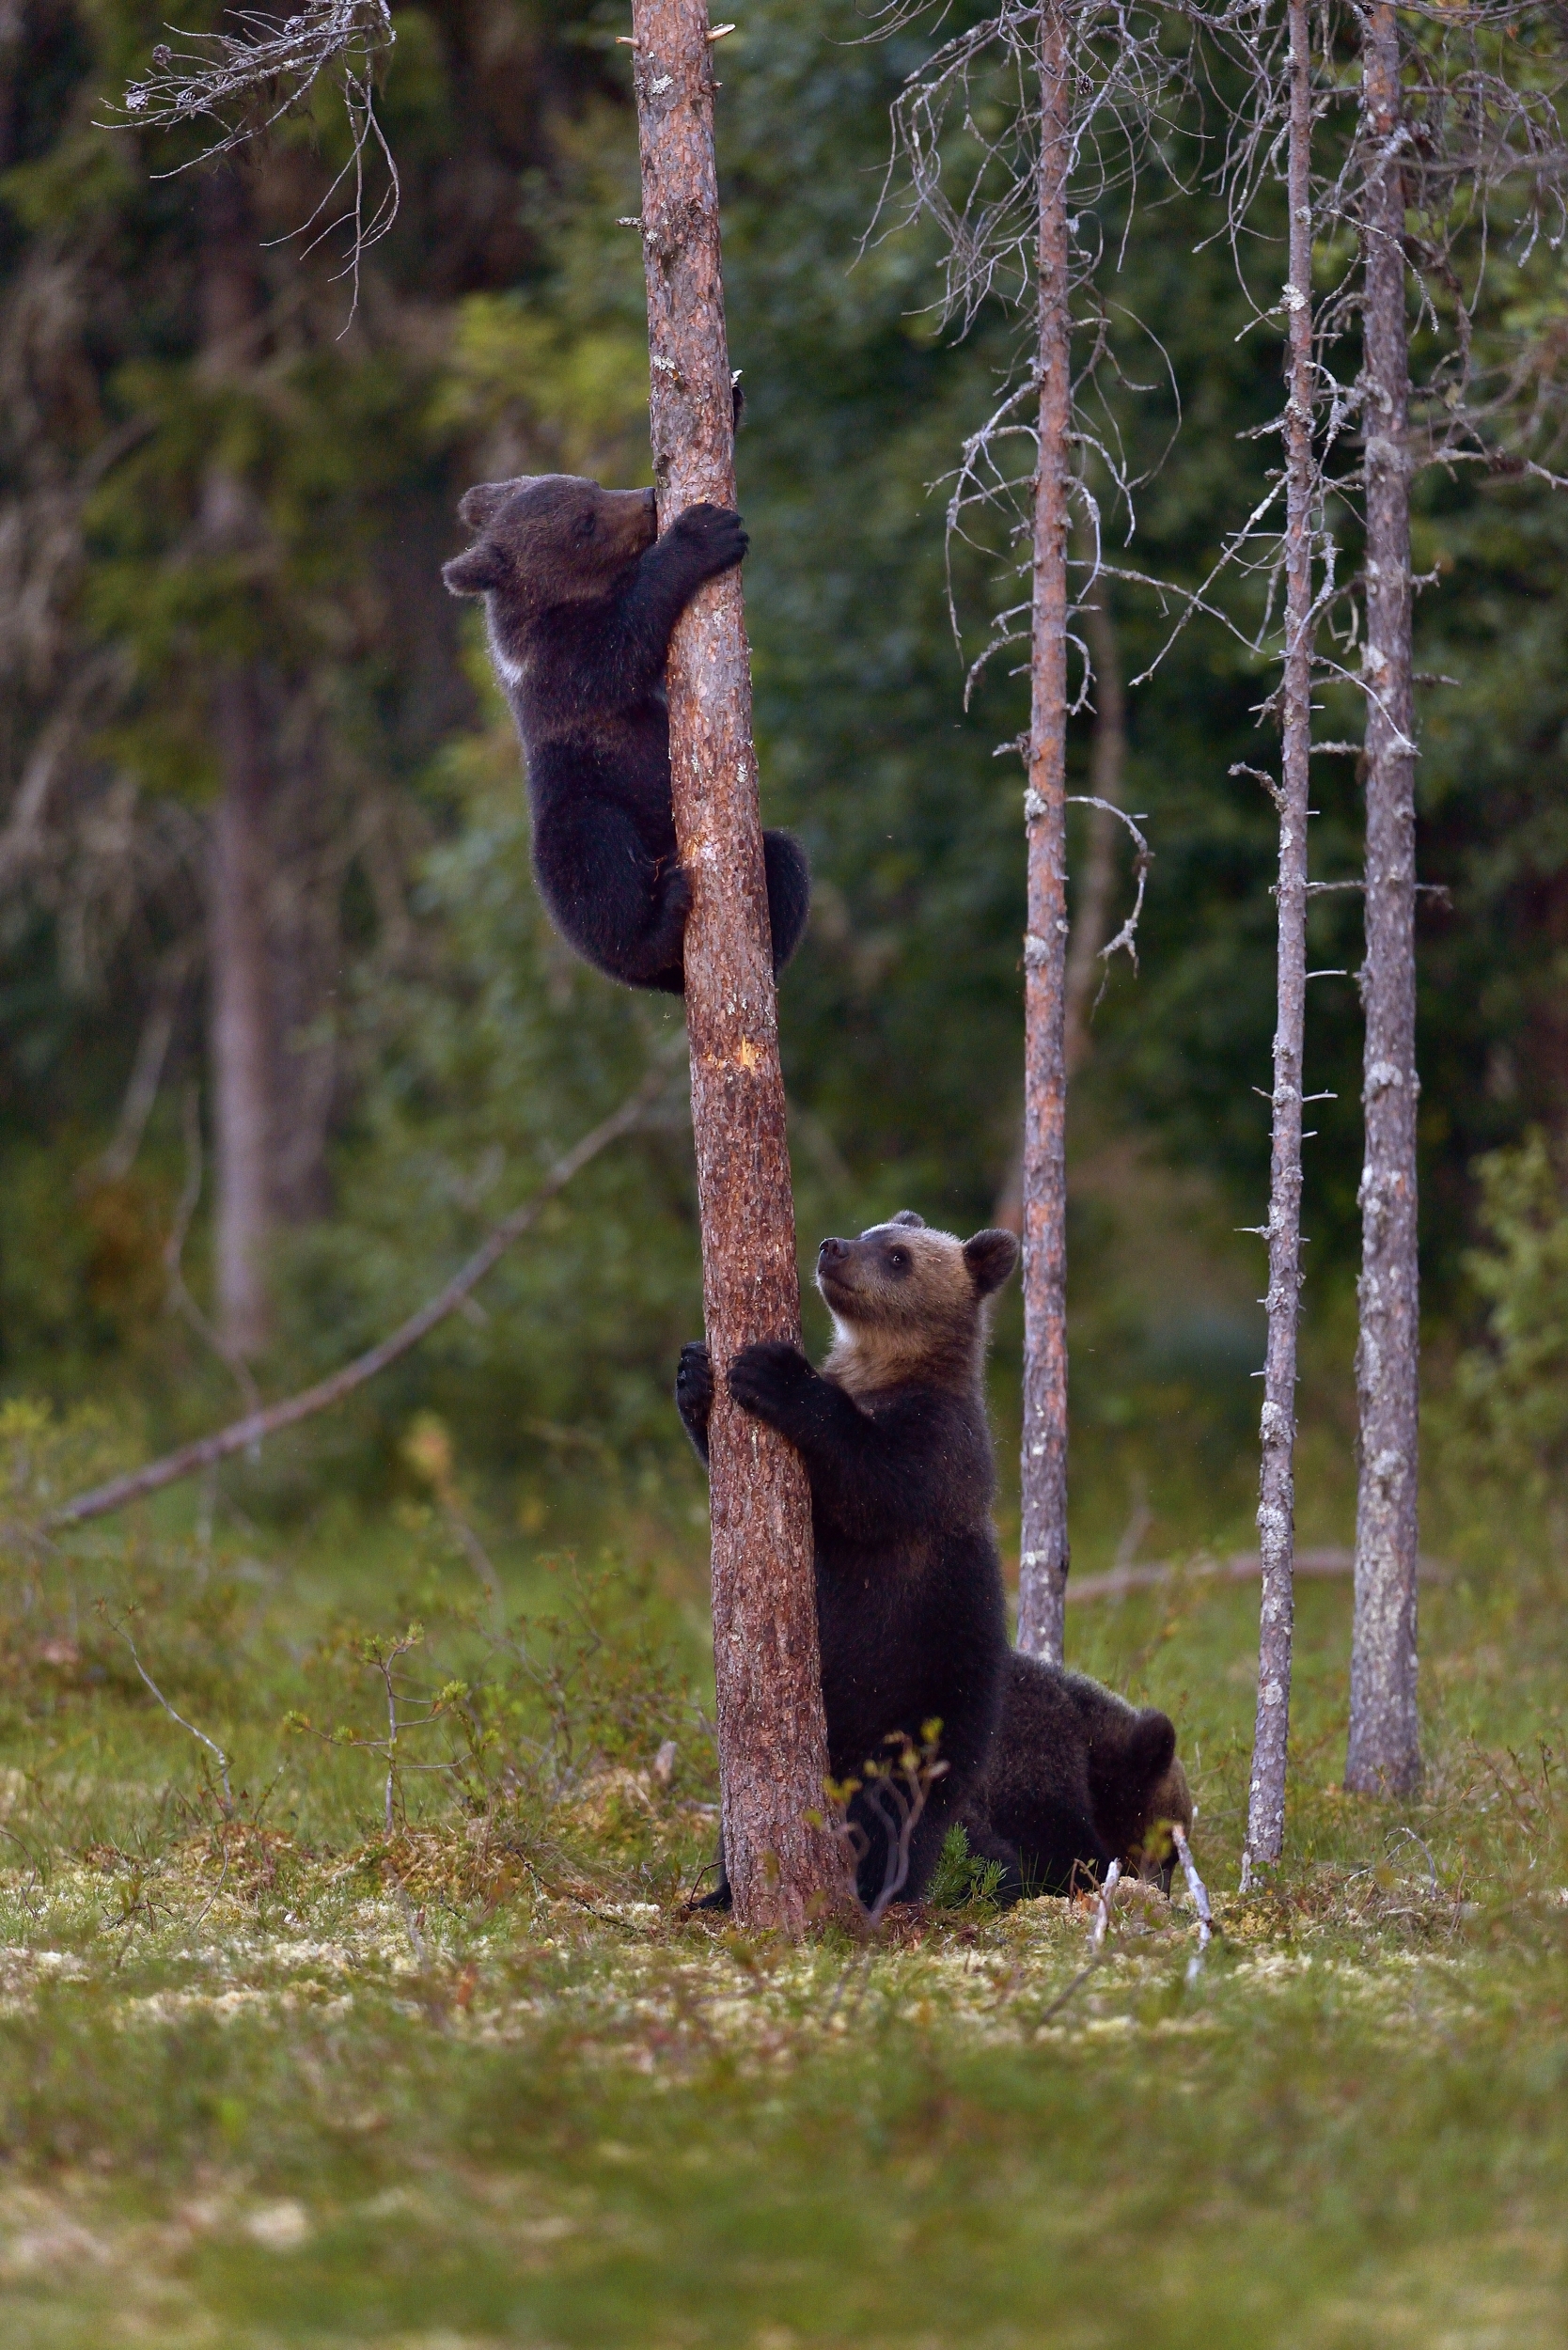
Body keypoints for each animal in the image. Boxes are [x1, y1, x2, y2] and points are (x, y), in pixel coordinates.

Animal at [442, 473, 810, 995]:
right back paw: (662, 919)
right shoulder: (561, 666)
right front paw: (704, 532)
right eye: (585, 523)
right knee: (593, 862)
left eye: (592, 485)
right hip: (577, 809)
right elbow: (626, 640)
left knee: (784, 854)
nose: (647, 500)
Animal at [676, 1210, 1023, 1913]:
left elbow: (873, 1481)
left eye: (897, 1256)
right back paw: (718, 1893)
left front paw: (776, 1372)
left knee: (888, 1813)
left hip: (920, 1708)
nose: (833, 1247)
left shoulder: (939, 1450)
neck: (880, 1369)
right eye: (873, 1229)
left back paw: (870, 1889)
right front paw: (695, 1373)